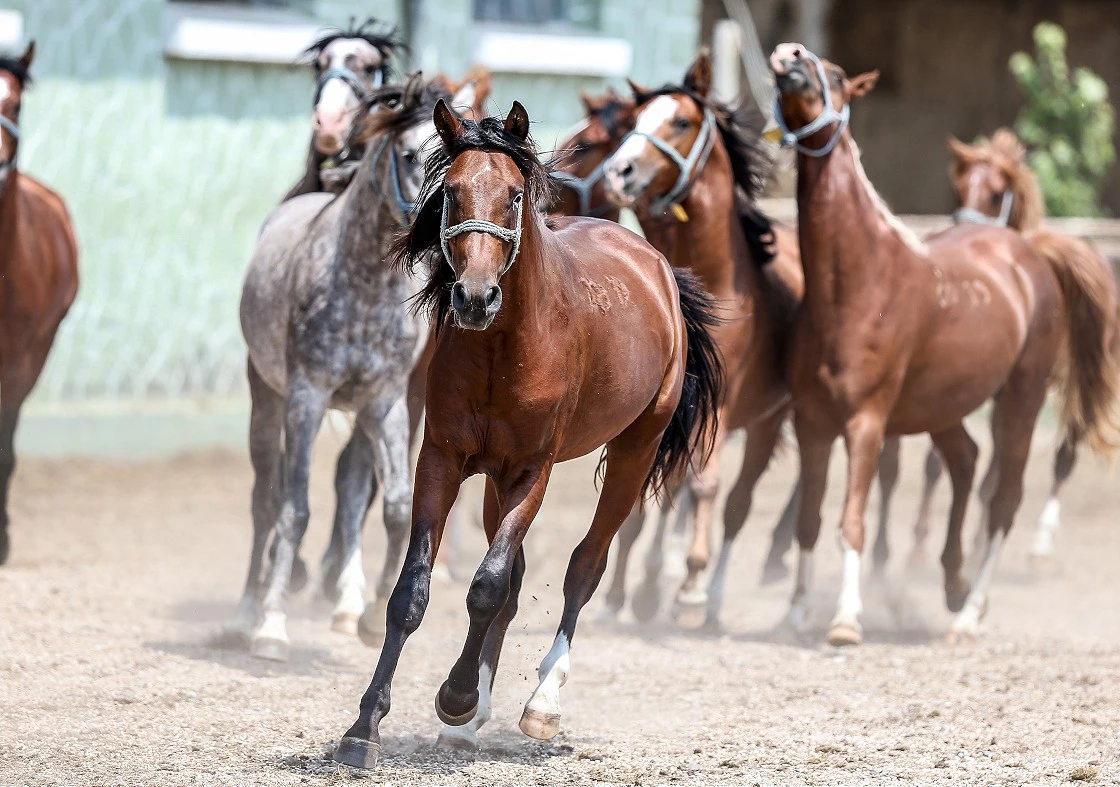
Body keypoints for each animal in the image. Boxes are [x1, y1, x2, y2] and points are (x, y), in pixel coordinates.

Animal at [225, 77, 448, 662]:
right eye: (410, 155)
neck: (363, 286)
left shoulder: (386, 403)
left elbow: (396, 509)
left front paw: (371, 618)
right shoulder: (307, 396)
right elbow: (295, 510)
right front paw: (272, 627)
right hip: (267, 400)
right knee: (266, 499)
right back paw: (244, 613)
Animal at [331, 100, 725, 770]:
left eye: (515, 195)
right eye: (451, 193)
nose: (474, 296)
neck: (503, 345)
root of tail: (657, 267)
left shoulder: (530, 472)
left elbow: (487, 586)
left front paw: (457, 696)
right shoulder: (443, 460)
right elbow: (415, 591)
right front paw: (367, 727)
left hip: (633, 452)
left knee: (584, 567)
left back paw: (541, 704)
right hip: (493, 477)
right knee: (515, 584)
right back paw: (470, 723)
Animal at [600, 53, 810, 626]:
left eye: (680, 121)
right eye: (634, 120)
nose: (619, 172)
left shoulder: (723, 402)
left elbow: (706, 487)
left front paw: (690, 585)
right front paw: (622, 591)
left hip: (766, 421)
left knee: (735, 503)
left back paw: (705, 594)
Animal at [770, 43, 1120, 644]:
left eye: (835, 75)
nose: (789, 57)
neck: (855, 286)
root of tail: (1029, 253)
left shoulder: (866, 422)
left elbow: (851, 521)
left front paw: (845, 620)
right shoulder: (812, 423)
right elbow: (810, 521)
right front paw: (793, 615)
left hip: (1021, 398)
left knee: (1004, 500)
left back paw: (969, 613)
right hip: (945, 406)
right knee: (965, 461)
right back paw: (954, 585)